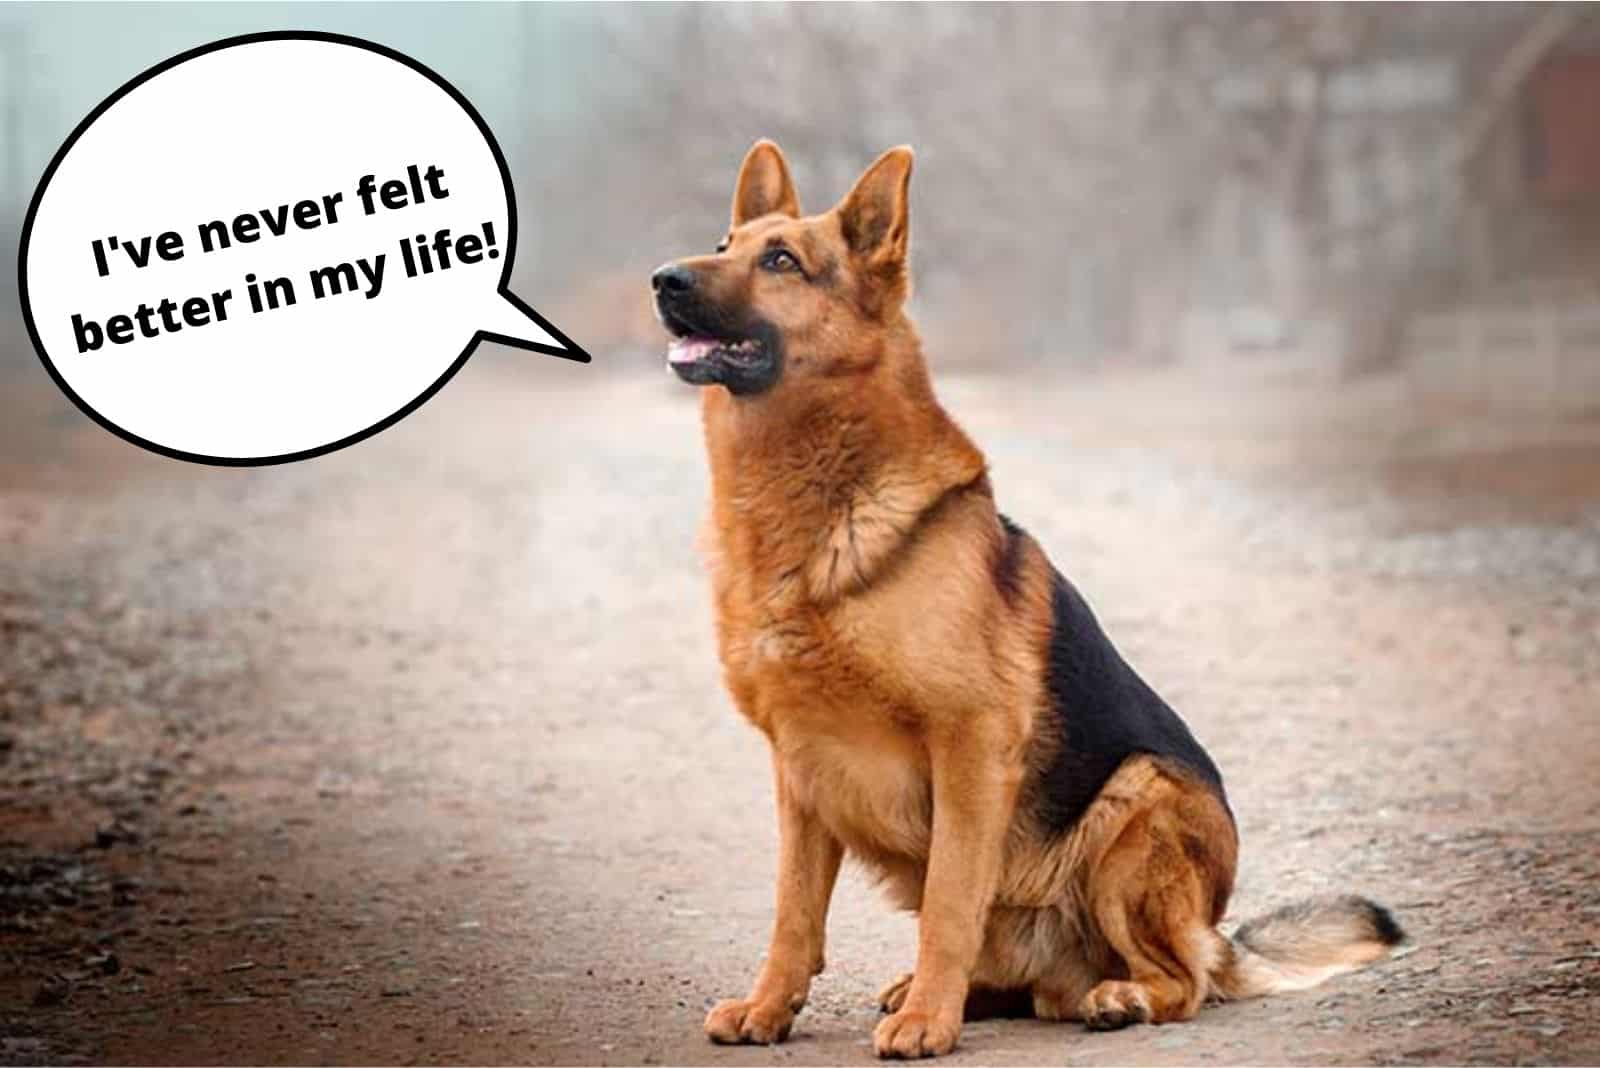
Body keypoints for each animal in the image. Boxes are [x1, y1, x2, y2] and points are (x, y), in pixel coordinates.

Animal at [649, 141, 1401, 1061]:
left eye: (782, 261)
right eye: (725, 243)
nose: (663, 280)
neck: (818, 504)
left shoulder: (969, 744)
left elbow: (948, 902)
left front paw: (926, 1024)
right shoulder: (800, 768)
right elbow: (793, 912)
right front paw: (770, 1007)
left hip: (1135, 806)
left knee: (1182, 983)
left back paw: (1109, 998)